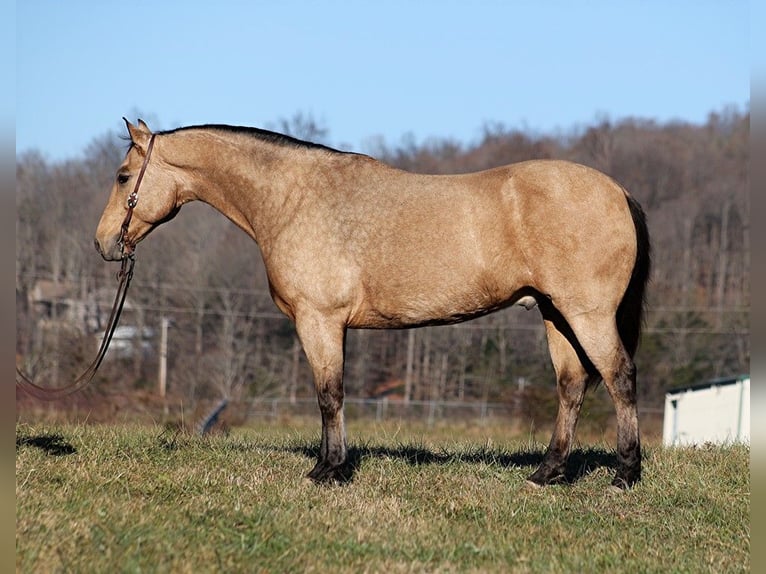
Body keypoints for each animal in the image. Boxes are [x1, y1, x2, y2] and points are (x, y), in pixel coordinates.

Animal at [93, 120, 652, 490]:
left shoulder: (319, 320)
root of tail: (618, 191)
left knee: (620, 377)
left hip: (586, 315)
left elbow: (329, 395)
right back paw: (547, 473)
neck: (294, 198)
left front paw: (328, 471)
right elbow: (332, 395)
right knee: (572, 386)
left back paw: (625, 474)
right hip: (556, 315)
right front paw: (332, 465)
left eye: (122, 176)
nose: (104, 244)